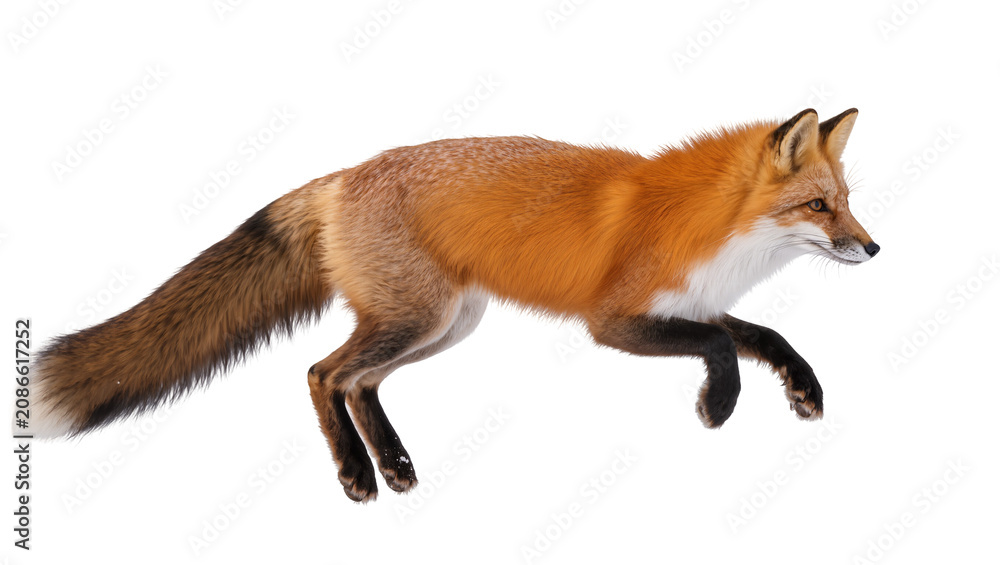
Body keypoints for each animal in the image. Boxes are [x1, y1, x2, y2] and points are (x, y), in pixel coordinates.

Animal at [26, 108, 878, 502]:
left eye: (845, 203)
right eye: (819, 206)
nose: (874, 249)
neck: (714, 230)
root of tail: (343, 175)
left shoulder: (688, 303)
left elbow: (764, 332)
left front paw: (802, 387)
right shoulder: (614, 319)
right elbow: (724, 347)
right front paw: (718, 405)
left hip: (442, 327)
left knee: (356, 381)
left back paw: (393, 463)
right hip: (419, 320)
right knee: (321, 372)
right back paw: (356, 474)